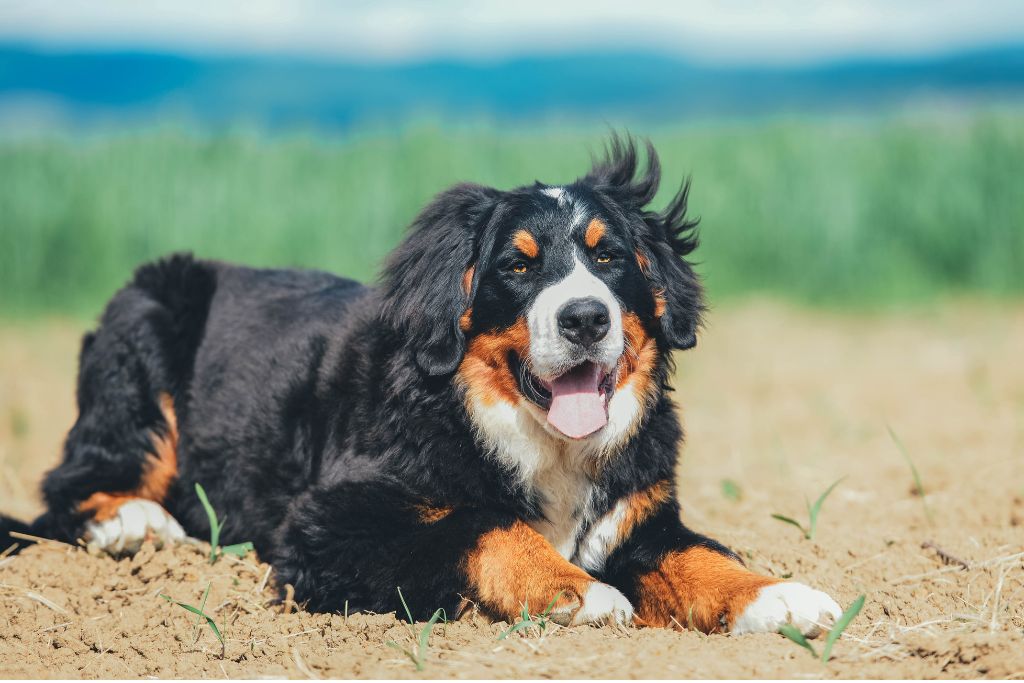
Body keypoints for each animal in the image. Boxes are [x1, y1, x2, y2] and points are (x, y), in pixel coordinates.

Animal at [2, 136, 839, 638]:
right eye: (517, 265)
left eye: (610, 258)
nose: (584, 318)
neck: (531, 435)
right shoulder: (331, 520)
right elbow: (481, 525)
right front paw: (581, 591)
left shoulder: (639, 517)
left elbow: (698, 556)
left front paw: (781, 594)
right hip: (143, 325)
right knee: (70, 484)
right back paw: (136, 523)